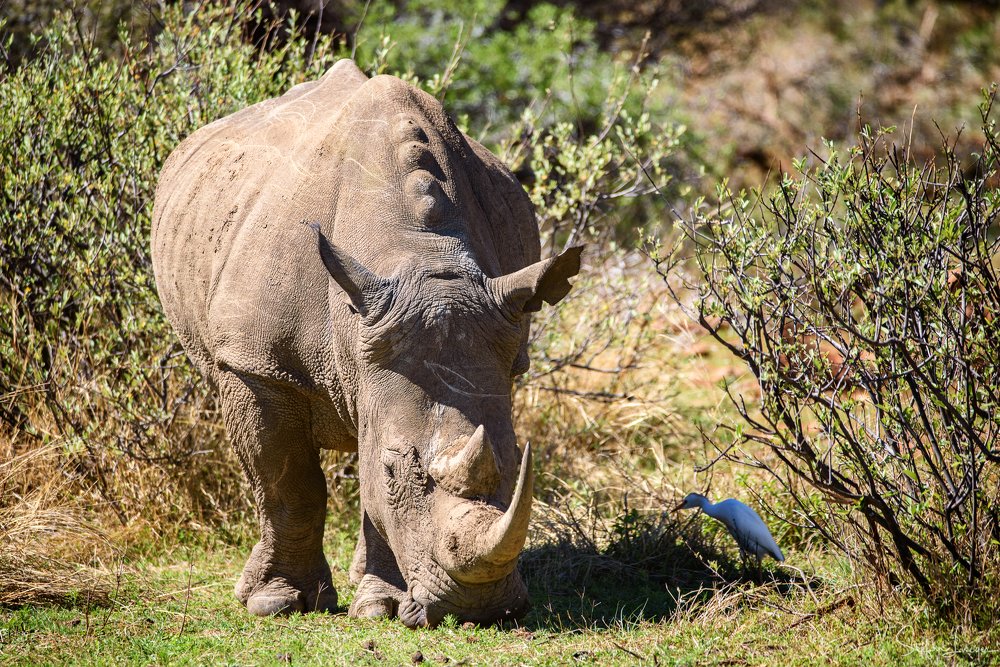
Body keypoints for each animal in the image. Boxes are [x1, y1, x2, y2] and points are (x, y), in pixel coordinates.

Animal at [150, 59, 582, 627]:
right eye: (394, 468)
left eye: (515, 461)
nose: (480, 607)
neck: (421, 256)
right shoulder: (254, 365)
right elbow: (288, 485)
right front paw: (276, 603)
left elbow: (371, 491)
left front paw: (379, 607)